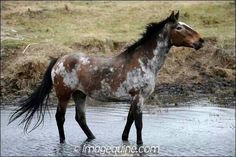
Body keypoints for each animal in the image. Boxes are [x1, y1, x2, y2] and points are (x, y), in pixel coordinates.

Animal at [8, 11, 203, 145]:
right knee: (60, 118)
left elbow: (130, 120)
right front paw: (140, 144)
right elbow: (139, 123)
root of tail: (59, 60)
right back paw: (63, 142)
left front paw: (124, 139)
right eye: (179, 27)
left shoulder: (134, 98)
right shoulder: (139, 97)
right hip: (64, 95)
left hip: (80, 94)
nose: (201, 41)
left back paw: (92, 138)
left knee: (80, 119)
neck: (144, 61)